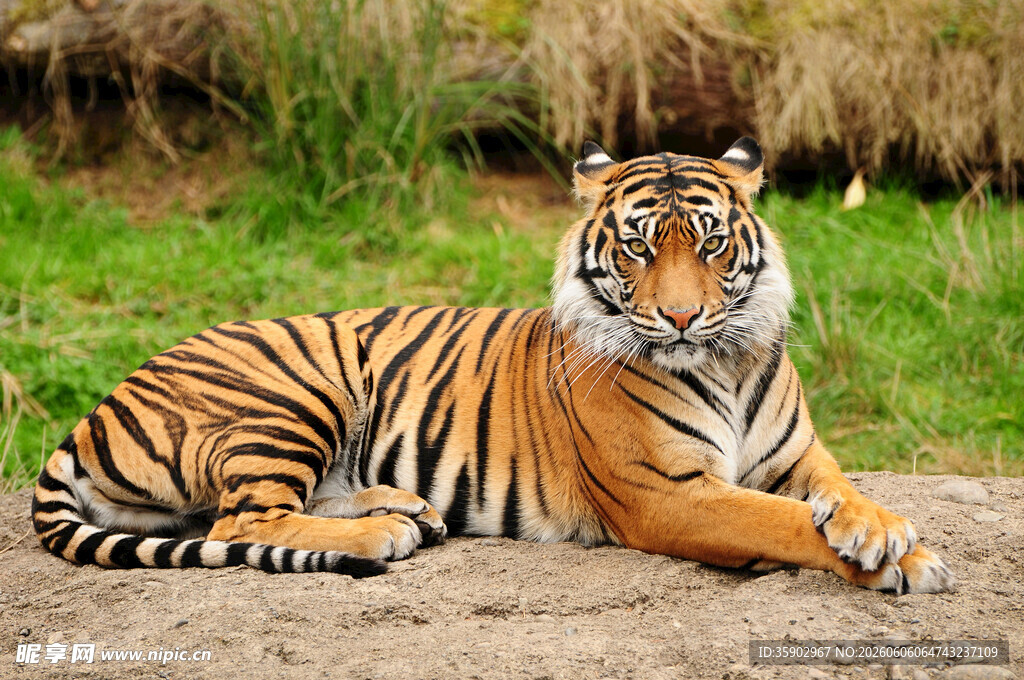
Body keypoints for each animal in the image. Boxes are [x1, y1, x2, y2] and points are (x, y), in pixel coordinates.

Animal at [32, 137, 954, 593]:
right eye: (637, 248)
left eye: (711, 243)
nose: (682, 316)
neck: (723, 362)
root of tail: (95, 408)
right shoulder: (669, 494)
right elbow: (779, 523)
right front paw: (901, 561)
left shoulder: (800, 455)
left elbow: (838, 494)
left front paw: (882, 530)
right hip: (296, 389)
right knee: (239, 521)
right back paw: (383, 532)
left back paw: (407, 508)